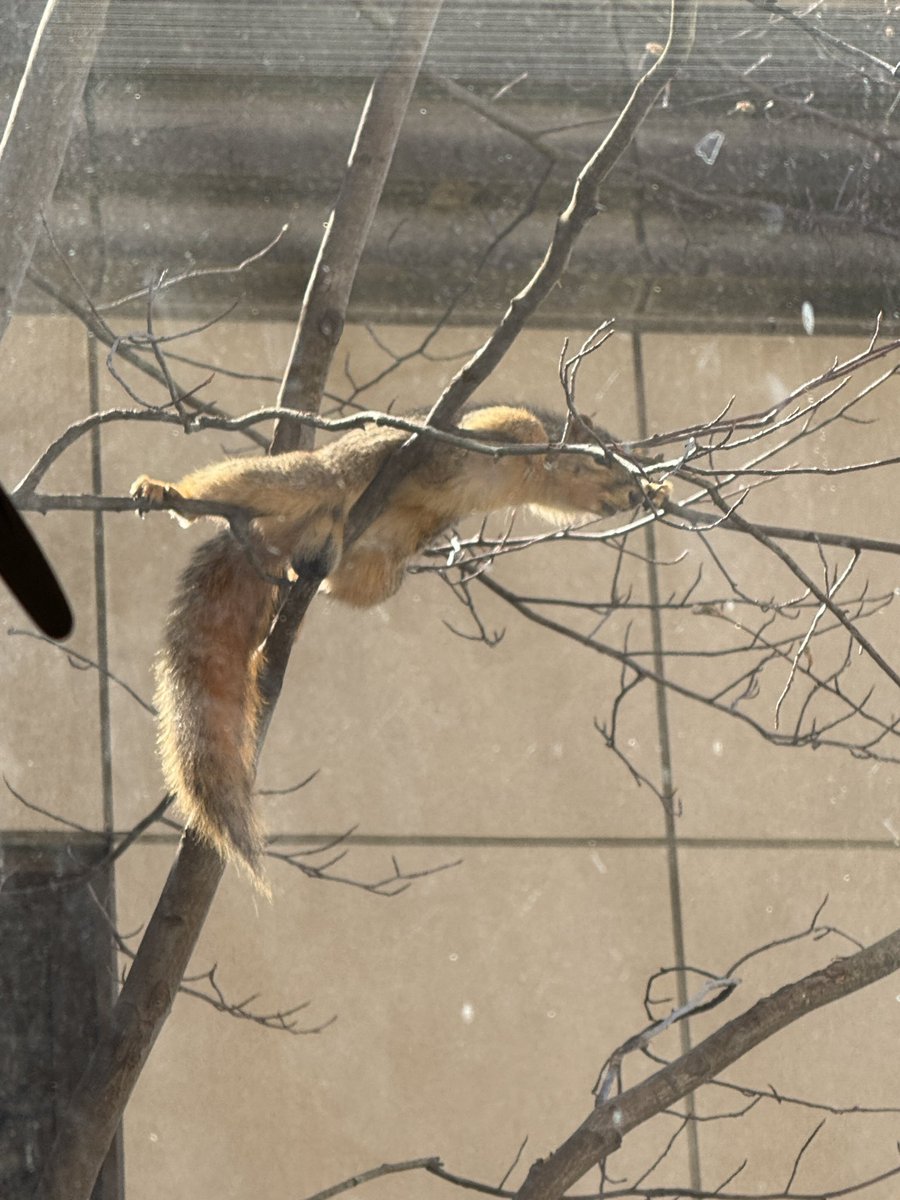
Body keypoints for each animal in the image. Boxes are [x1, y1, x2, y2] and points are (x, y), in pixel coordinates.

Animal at [131, 405, 665, 889]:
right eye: (608, 458)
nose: (635, 494)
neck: (527, 473)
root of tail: (275, 537)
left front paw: (661, 490)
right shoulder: (487, 434)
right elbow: (513, 421)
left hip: (381, 561)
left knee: (339, 581)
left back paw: (310, 571)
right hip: (318, 478)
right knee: (266, 482)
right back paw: (171, 493)